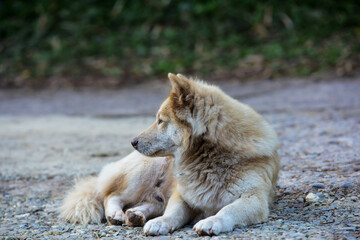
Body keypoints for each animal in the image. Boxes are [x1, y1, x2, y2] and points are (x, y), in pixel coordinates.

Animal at [131, 72, 280, 234]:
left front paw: (212, 220)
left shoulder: (254, 197)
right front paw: (161, 221)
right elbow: (173, 211)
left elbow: (228, 209)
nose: (133, 142)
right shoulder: (182, 195)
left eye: (160, 120)